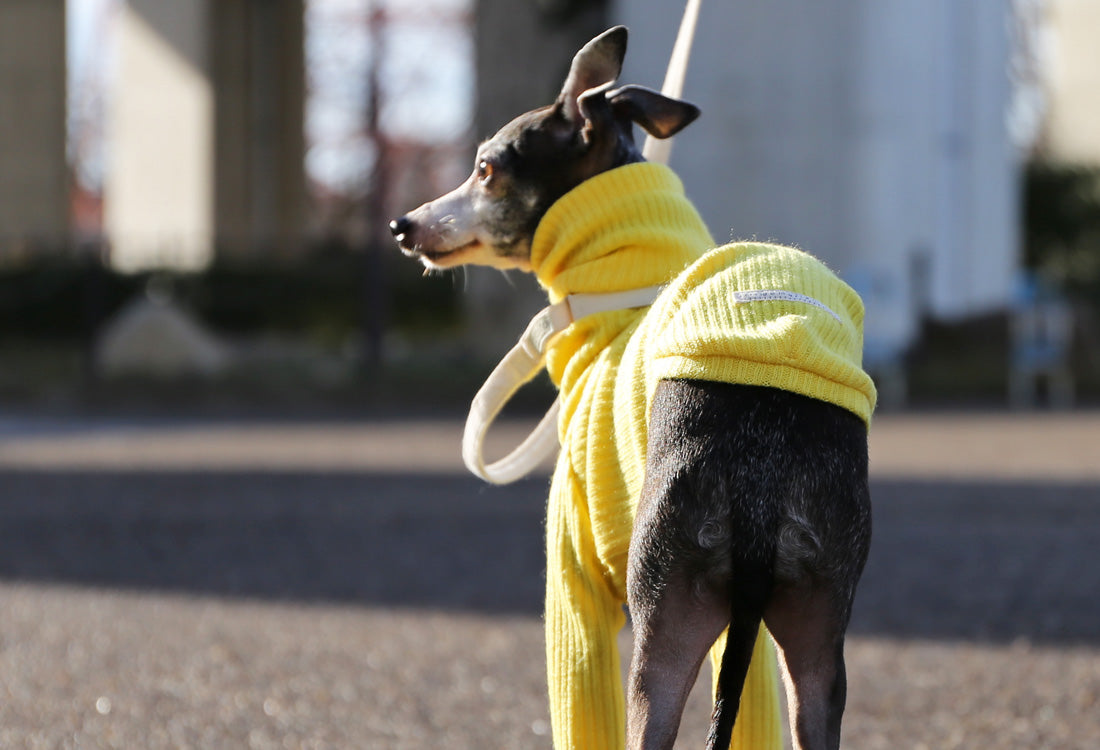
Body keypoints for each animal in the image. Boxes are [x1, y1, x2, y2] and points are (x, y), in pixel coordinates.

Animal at [391, 24, 871, 747]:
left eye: (485, 169)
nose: (403, 225)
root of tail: (763, 470)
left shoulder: (574, 578)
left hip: (663, 631)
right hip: (809, 644)